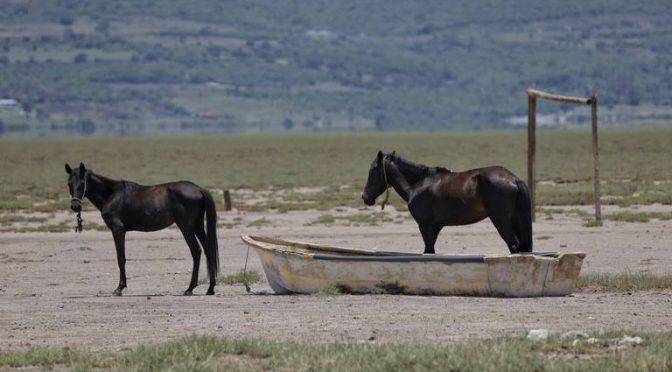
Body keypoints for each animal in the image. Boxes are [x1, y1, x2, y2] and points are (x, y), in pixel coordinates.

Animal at [65, 163, 219, 296]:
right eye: (69, 184)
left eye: (82, 183)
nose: (75, 206)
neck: (111, 194)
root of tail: (199, 189)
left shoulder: (118, 230)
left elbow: (120, 257)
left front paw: (119, 288)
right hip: (197, 225)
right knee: (208, 250)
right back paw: (210, 288)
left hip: (186, 227)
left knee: (196, 251)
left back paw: (190, 288)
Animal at [360, 150, 532, 253]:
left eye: (372, 170)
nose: (365, 197)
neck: (419, 184)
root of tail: (513, 178)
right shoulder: (435, 228)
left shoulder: (425, 226)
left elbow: (429, 251)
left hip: (500, 220)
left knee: (514, 246)